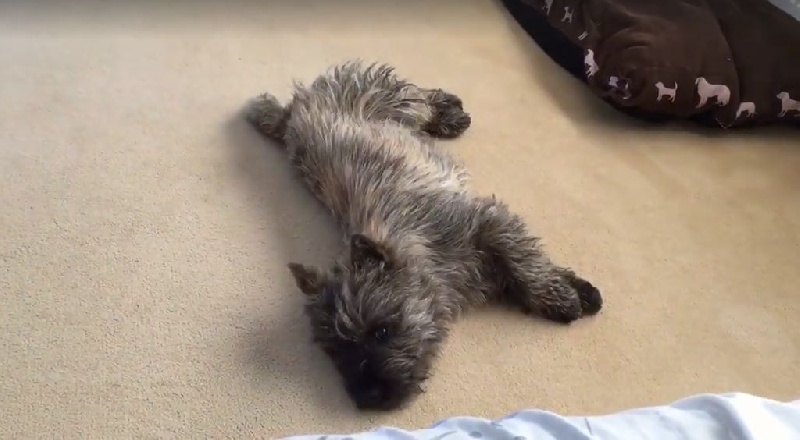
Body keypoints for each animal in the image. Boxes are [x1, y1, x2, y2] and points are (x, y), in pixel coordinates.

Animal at [245, 61, 603, 411]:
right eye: (337, 350)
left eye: (382, 331)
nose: (367, 398)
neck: (420, 249)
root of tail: (297, 110)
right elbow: (527, 266)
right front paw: (576, 291)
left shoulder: (490, 223)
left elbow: (527, 264)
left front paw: (566, 298)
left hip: (391, 98)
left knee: (421, 96)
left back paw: (452, 113)